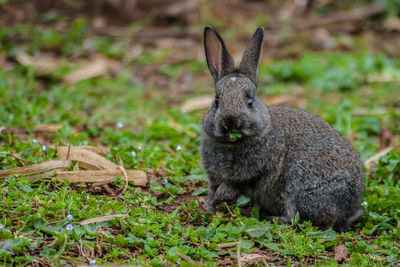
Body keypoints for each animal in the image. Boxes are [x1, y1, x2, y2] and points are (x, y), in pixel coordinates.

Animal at [200, 26, 366, 233]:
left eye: (250, 102)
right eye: (216, 101)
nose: (231, 122)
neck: (232, 143)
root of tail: (351, 207)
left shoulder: (257, 173)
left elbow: (236, 185)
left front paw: (220, 198)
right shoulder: (214, 177)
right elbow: (215, 189)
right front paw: (210, 205)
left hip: (303, 187)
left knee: (316, 221)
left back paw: (276, 220)